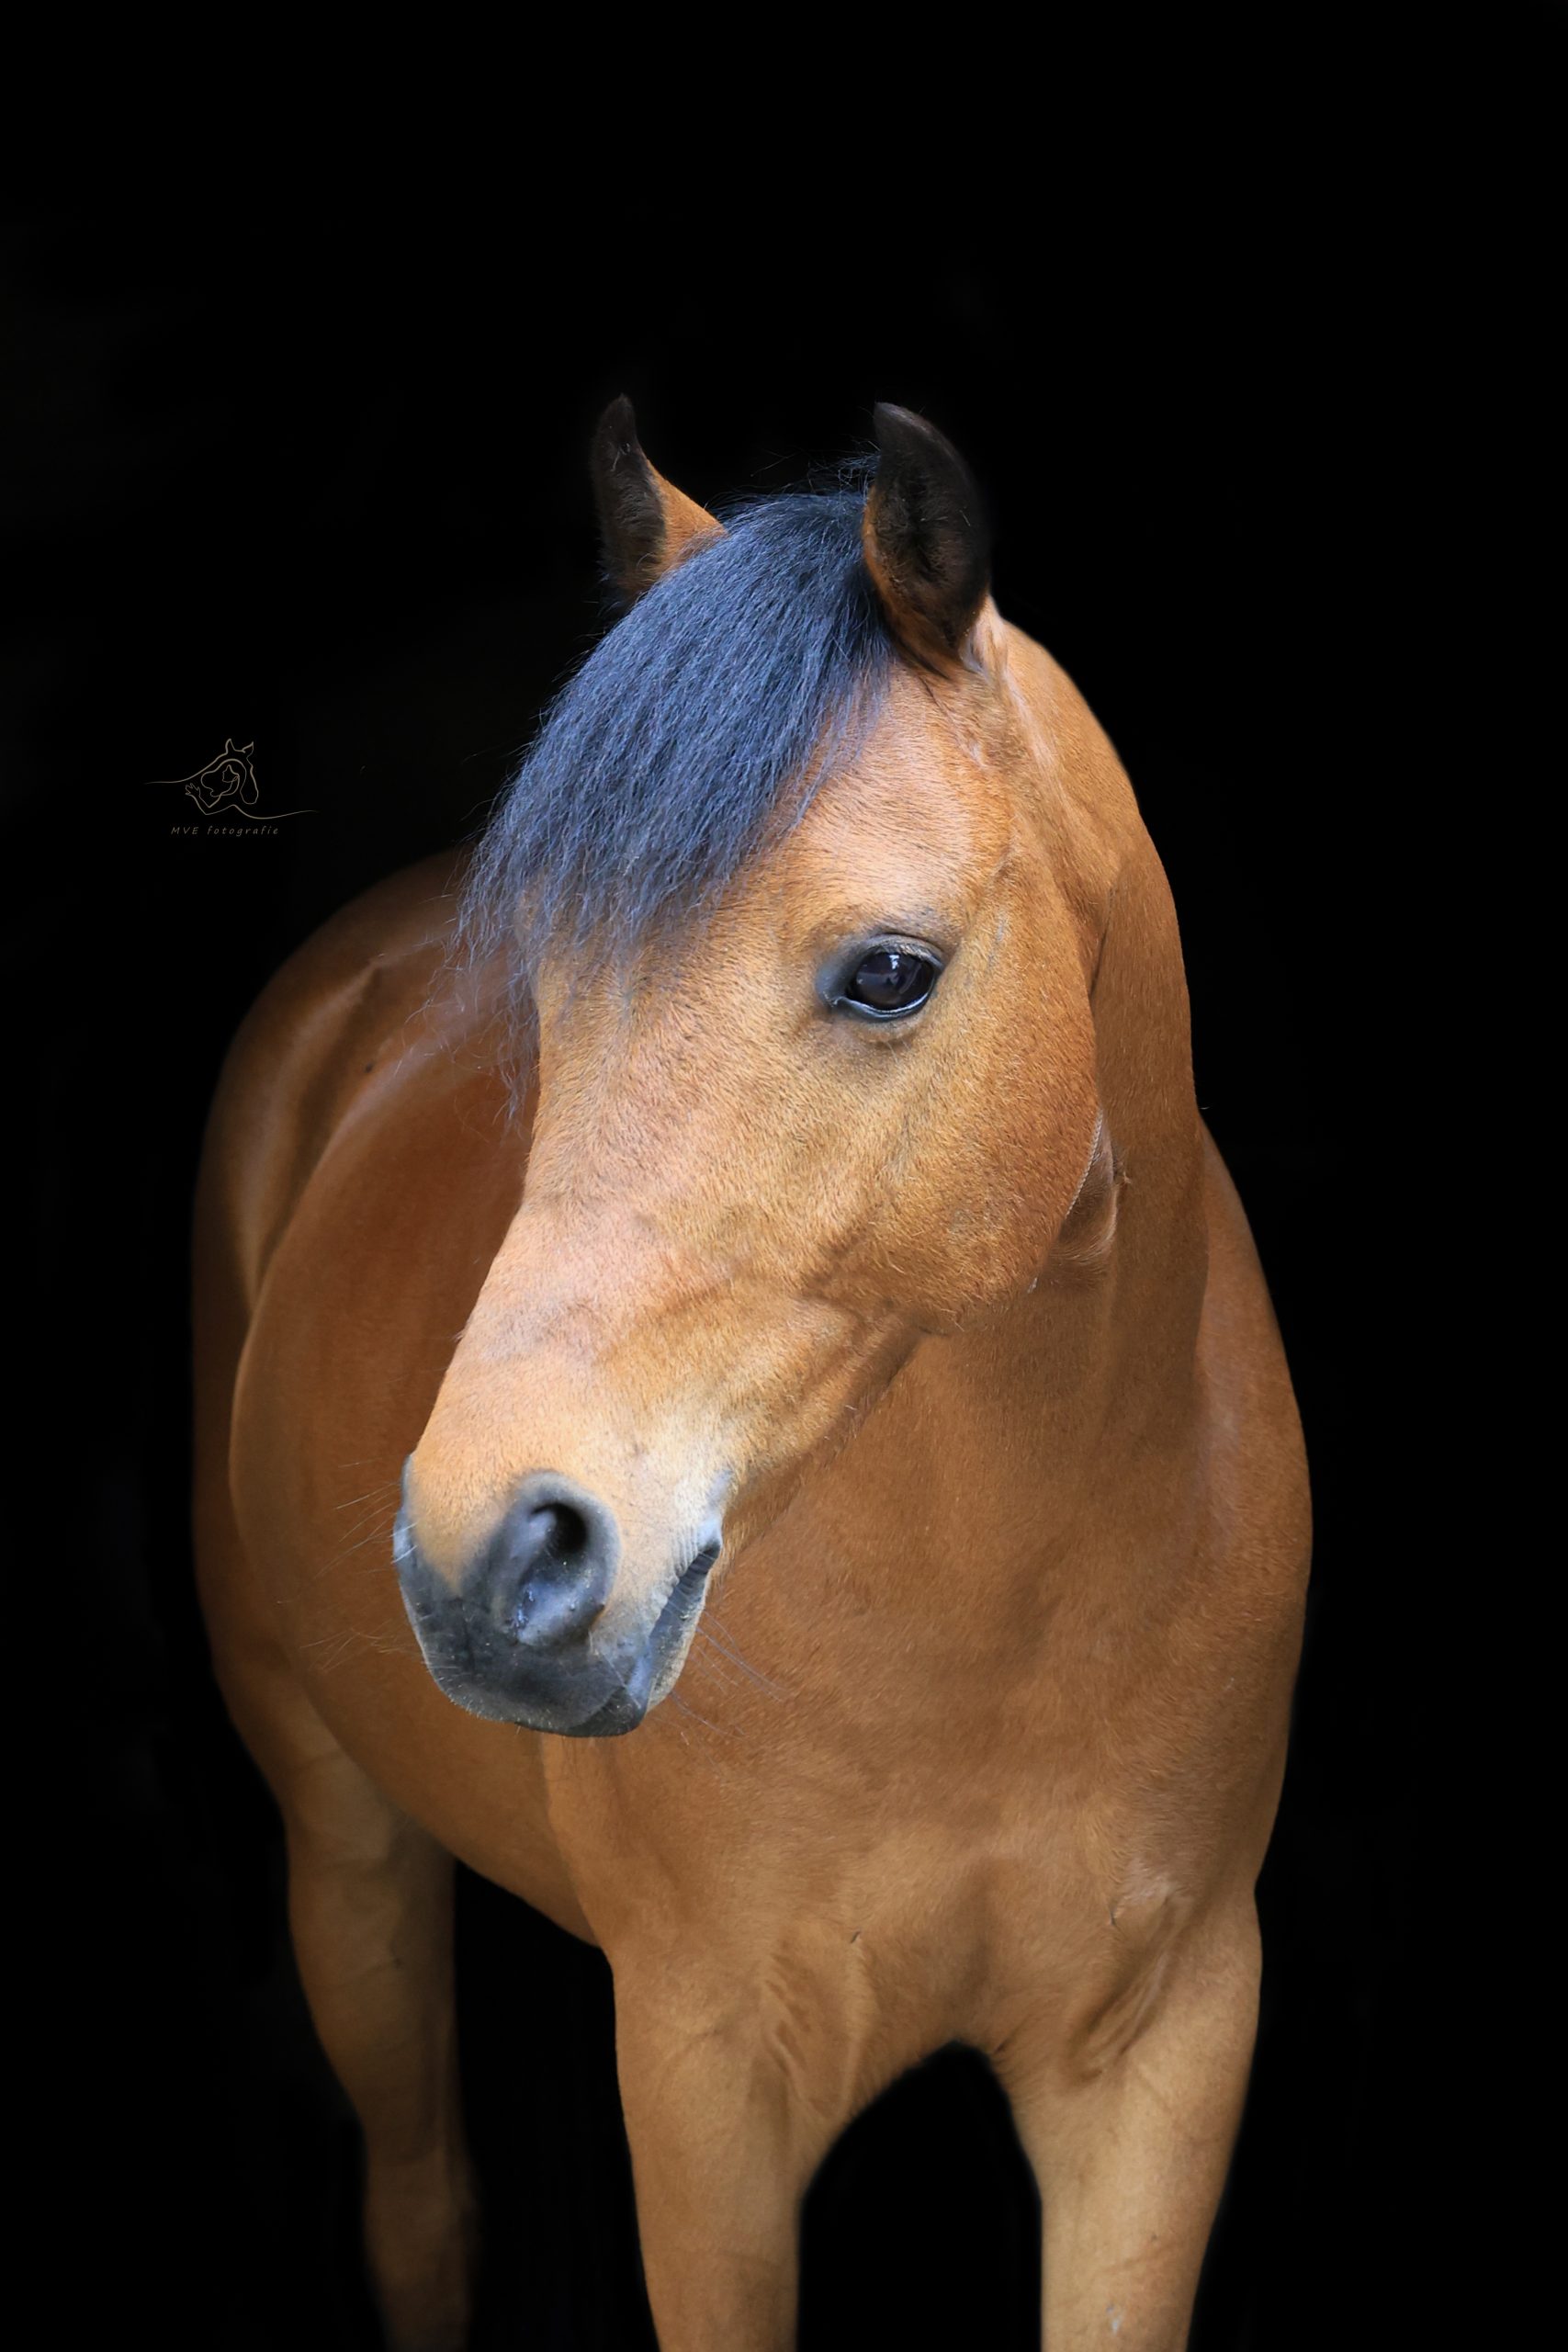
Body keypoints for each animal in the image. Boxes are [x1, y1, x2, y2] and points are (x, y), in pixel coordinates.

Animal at [192, 398, 1310, 2351]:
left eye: (889, 973)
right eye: (542, 987)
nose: (488, 1553)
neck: (1002, 1616)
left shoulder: (1164, 2059)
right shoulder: (706, 2076)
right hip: (345, 1849)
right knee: (418, 2203)